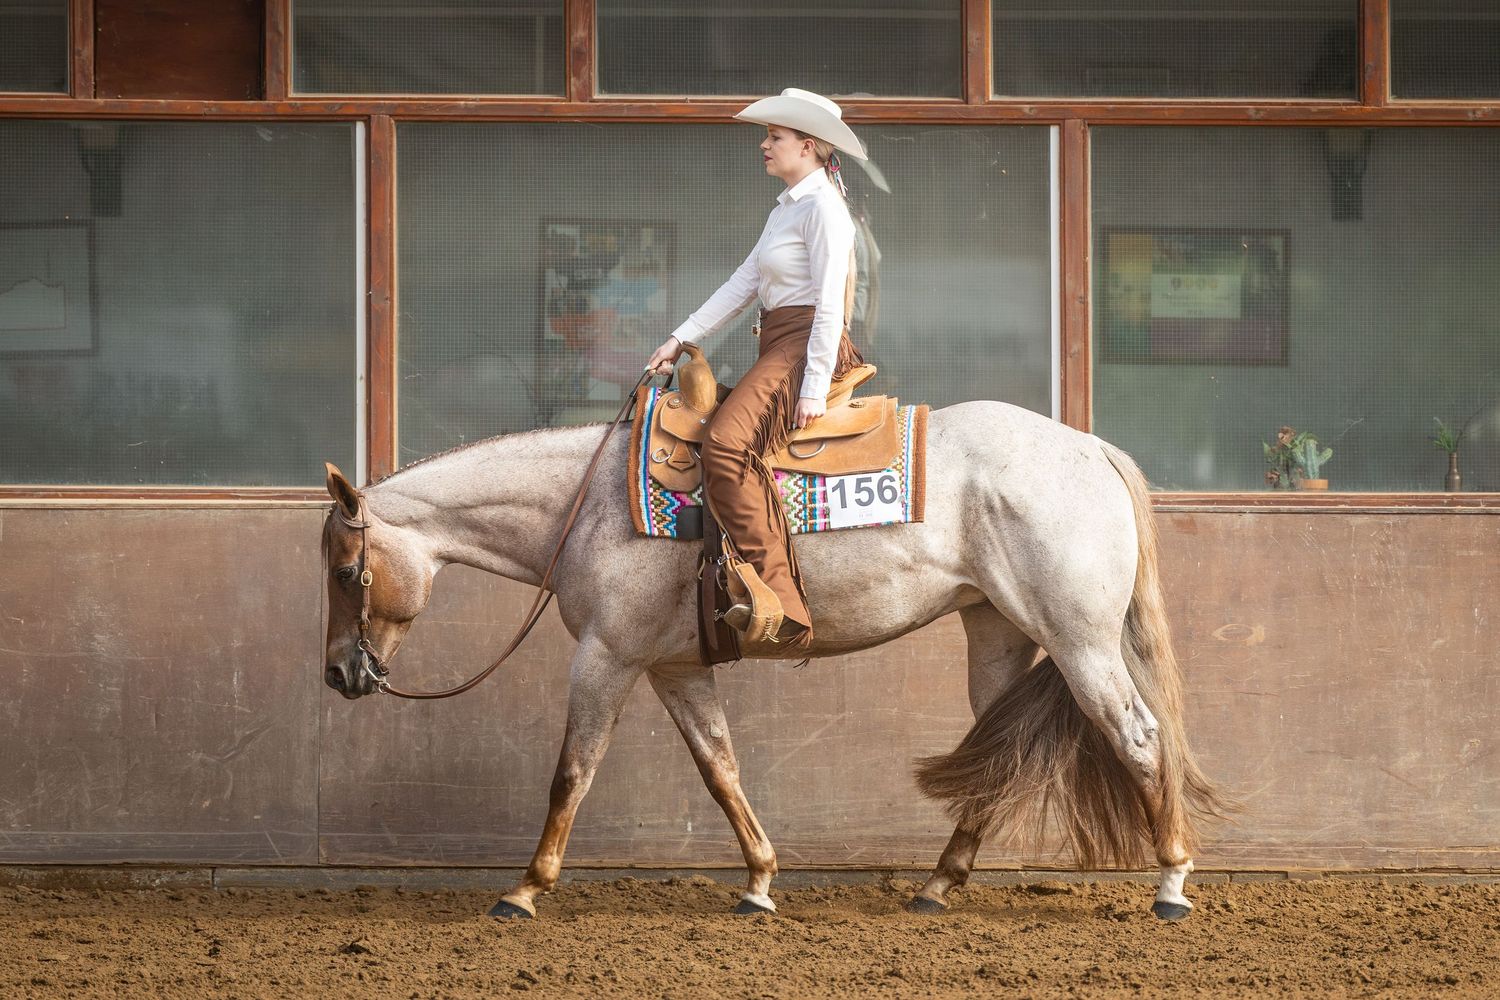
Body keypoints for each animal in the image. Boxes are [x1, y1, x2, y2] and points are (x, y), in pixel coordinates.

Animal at [320, 399, 1224, 921]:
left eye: (344, 569)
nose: (338, 674)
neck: (589, 505)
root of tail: (1091, 449)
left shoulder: (606, 657)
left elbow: (572, 771)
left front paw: (524, 889)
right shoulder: (674, 667)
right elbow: (720, 767)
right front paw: (757, 882)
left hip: (1079, 641)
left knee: (1138, 738)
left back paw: (1171, 885)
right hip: (998, 635)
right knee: (995, 755)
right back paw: (936, 886)